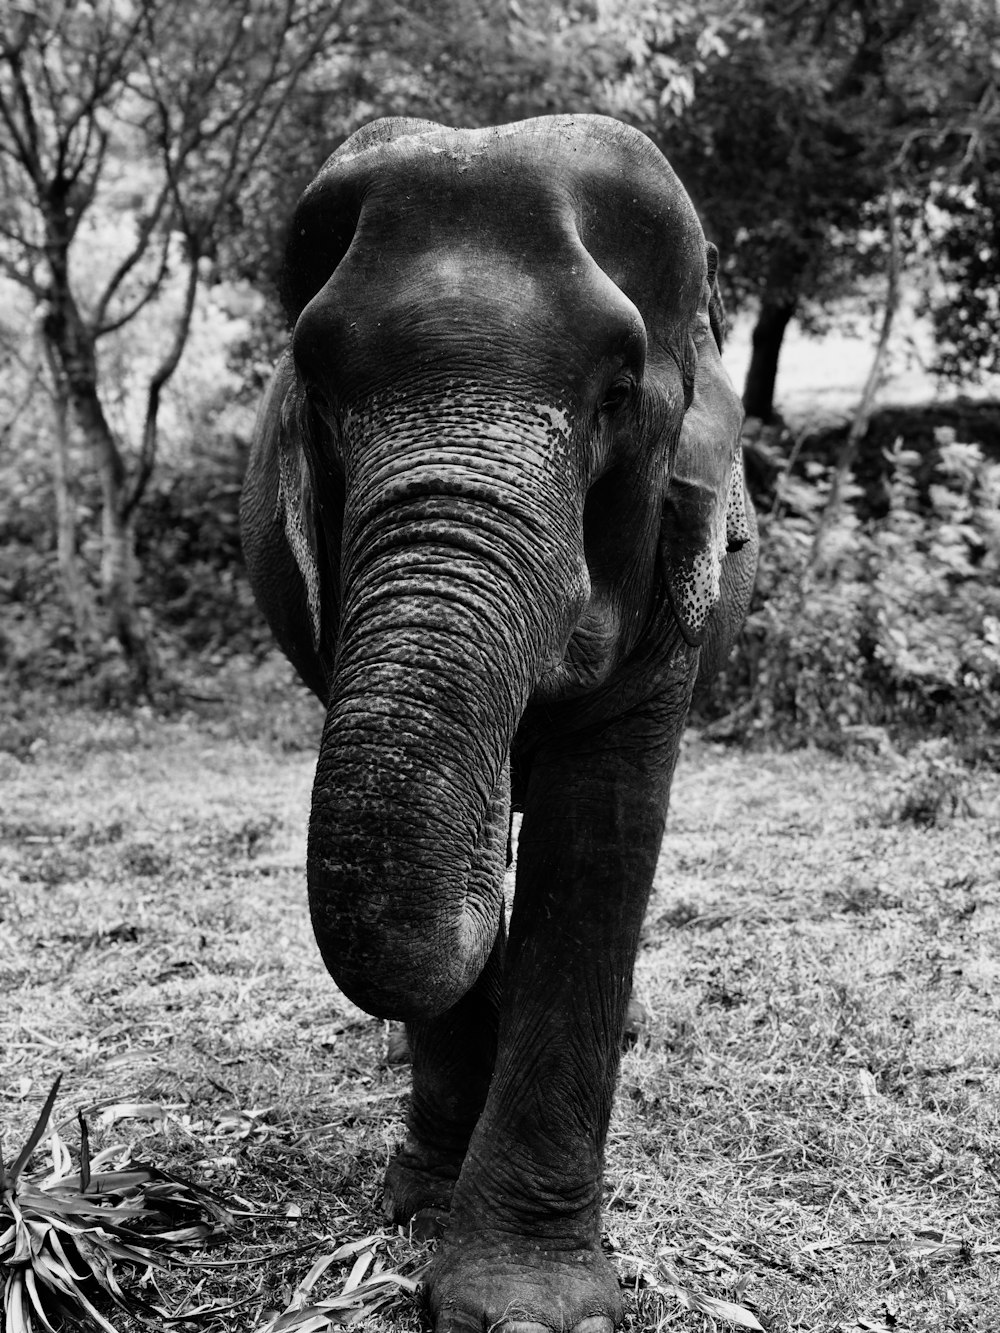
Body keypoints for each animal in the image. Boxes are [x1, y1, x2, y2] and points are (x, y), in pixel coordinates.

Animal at [245, 114, 757, 1333]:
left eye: (616, 392)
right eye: (316, 387)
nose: (488, 832)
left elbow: (600, 834)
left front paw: (527, 1306)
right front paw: (426, 1215)